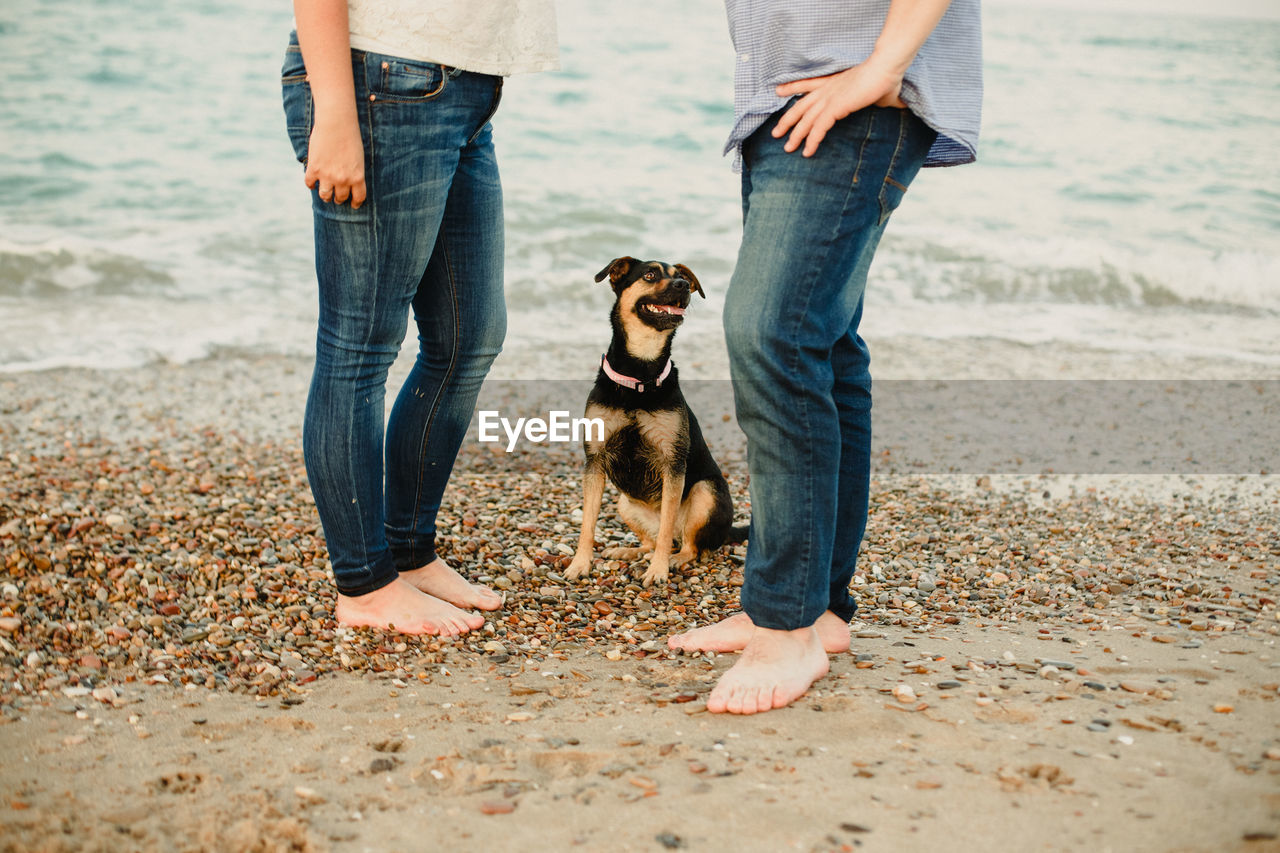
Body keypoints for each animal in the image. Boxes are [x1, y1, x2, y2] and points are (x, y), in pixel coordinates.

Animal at [565, 252, 747, 584]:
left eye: (682, 277)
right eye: (649, 275)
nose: (683, 284)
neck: (640, 372)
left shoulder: (672, 463)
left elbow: (665, 528)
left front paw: (659, 570)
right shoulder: (595, 461)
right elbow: (587, 524)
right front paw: (580, 564)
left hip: (706, 492)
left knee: (687, 544)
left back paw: (674, 559)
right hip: (625, 503)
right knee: (651, 540)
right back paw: (630, 551)